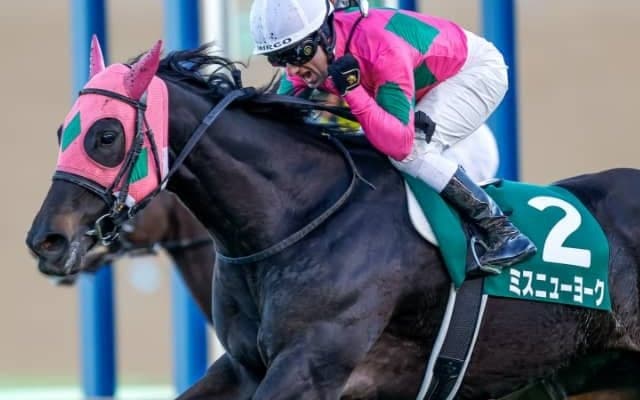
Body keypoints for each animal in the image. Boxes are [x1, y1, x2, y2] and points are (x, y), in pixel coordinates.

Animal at [26, 40, 640, 399]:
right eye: (61, 131)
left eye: (105, 136)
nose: (46, 240)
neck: (294, 219)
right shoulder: (243, 367)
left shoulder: (312, 368)